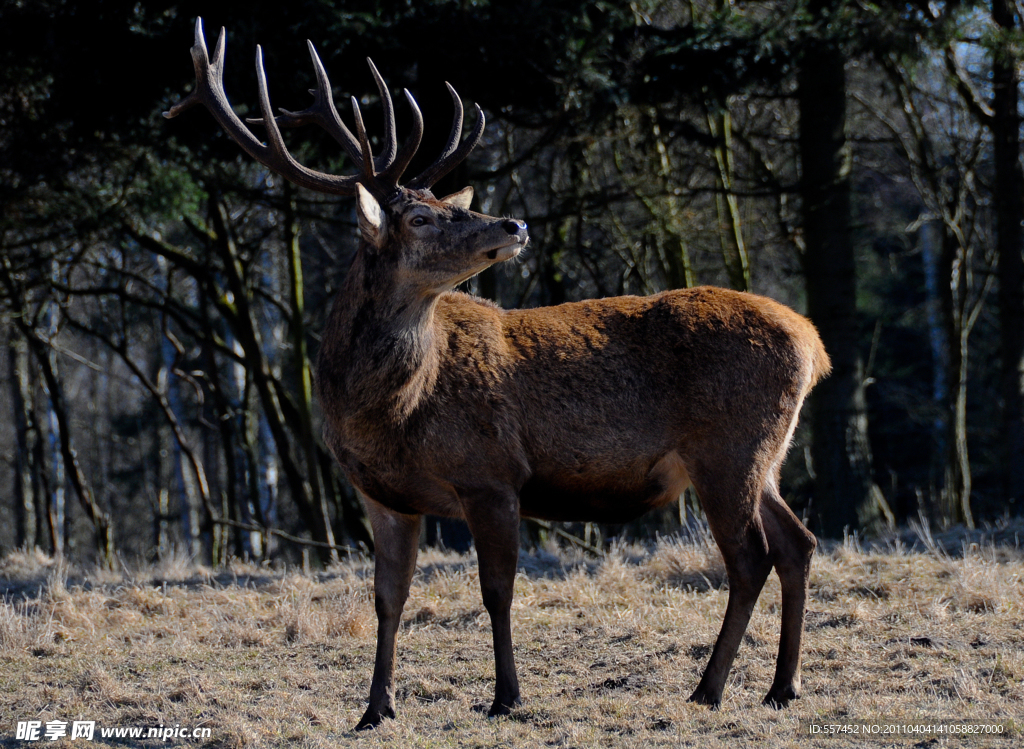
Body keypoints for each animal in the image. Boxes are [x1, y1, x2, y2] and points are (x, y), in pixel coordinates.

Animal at [163, 19, 827, 733]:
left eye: (438, 201)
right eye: (420, 216)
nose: (515, 222)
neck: (390, 413)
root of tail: (812, 343)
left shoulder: (491, 474)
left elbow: (496, 591)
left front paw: (506, 696)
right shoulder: (382, 497)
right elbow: (388, 598)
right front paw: (375, 708)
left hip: (728, 446)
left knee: (751, 557)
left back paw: (709, 688)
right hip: (766, 455)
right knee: (797, 543)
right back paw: (781, 687)